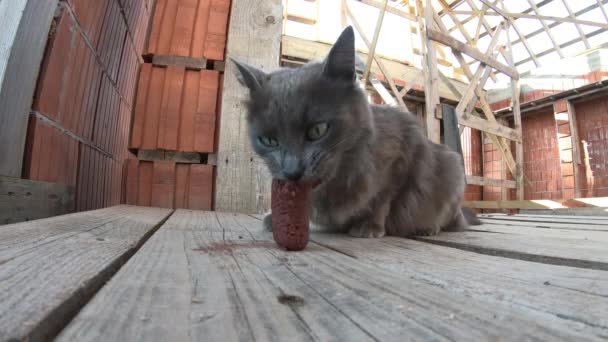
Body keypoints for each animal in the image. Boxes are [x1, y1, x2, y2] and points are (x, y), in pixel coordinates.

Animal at [232, 26, 480, 238]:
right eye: (269, 140)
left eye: (317, 130)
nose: (292, 171)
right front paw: (276, 218)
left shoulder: (401, 153)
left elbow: (383, 198)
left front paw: (369, 225)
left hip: (452, 167)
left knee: (451, 219)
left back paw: (427, 228)